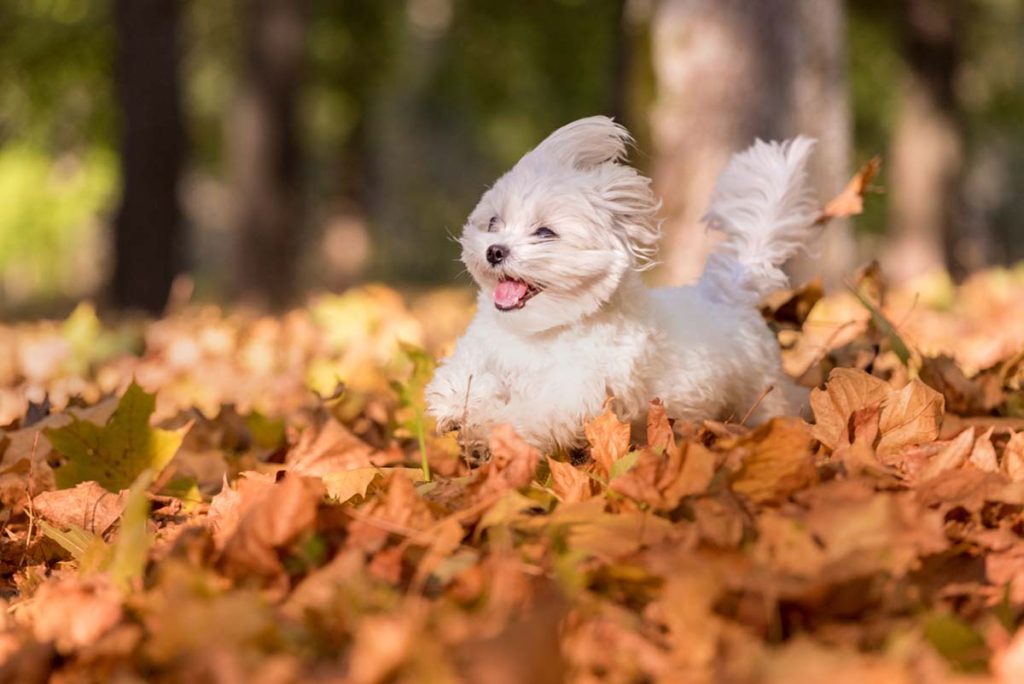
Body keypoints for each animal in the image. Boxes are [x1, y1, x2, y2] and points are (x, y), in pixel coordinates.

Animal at [428, 114, 819, 450]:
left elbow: (533, 412)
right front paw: (457, 405)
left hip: (763, 393)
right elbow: (466, 375)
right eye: (493, 222)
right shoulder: (482, 348)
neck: (541, 331)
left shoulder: (578, 388)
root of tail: (726, 294)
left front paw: (494, 429)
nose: (495, 250)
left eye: (545, 233)